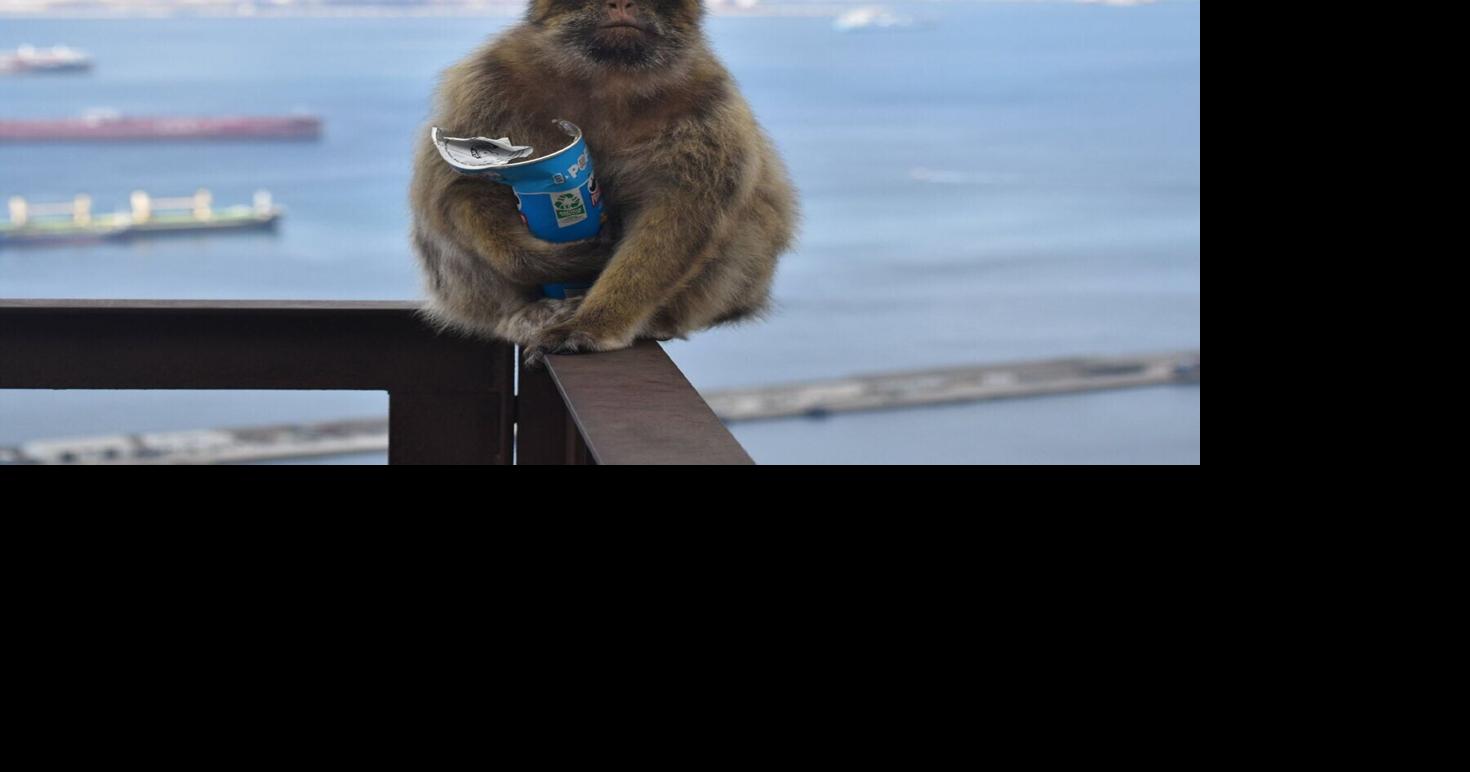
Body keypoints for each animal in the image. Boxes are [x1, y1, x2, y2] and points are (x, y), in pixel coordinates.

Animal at [410, 0, 798, 365]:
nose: (622, 3)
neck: (609, 78)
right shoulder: (489, 81)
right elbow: (460, 188)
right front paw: (551, 261)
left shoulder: (708, 103)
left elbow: (682, 213)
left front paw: (593, 324)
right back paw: (521, 314)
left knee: (751, 220)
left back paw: (661, 320)